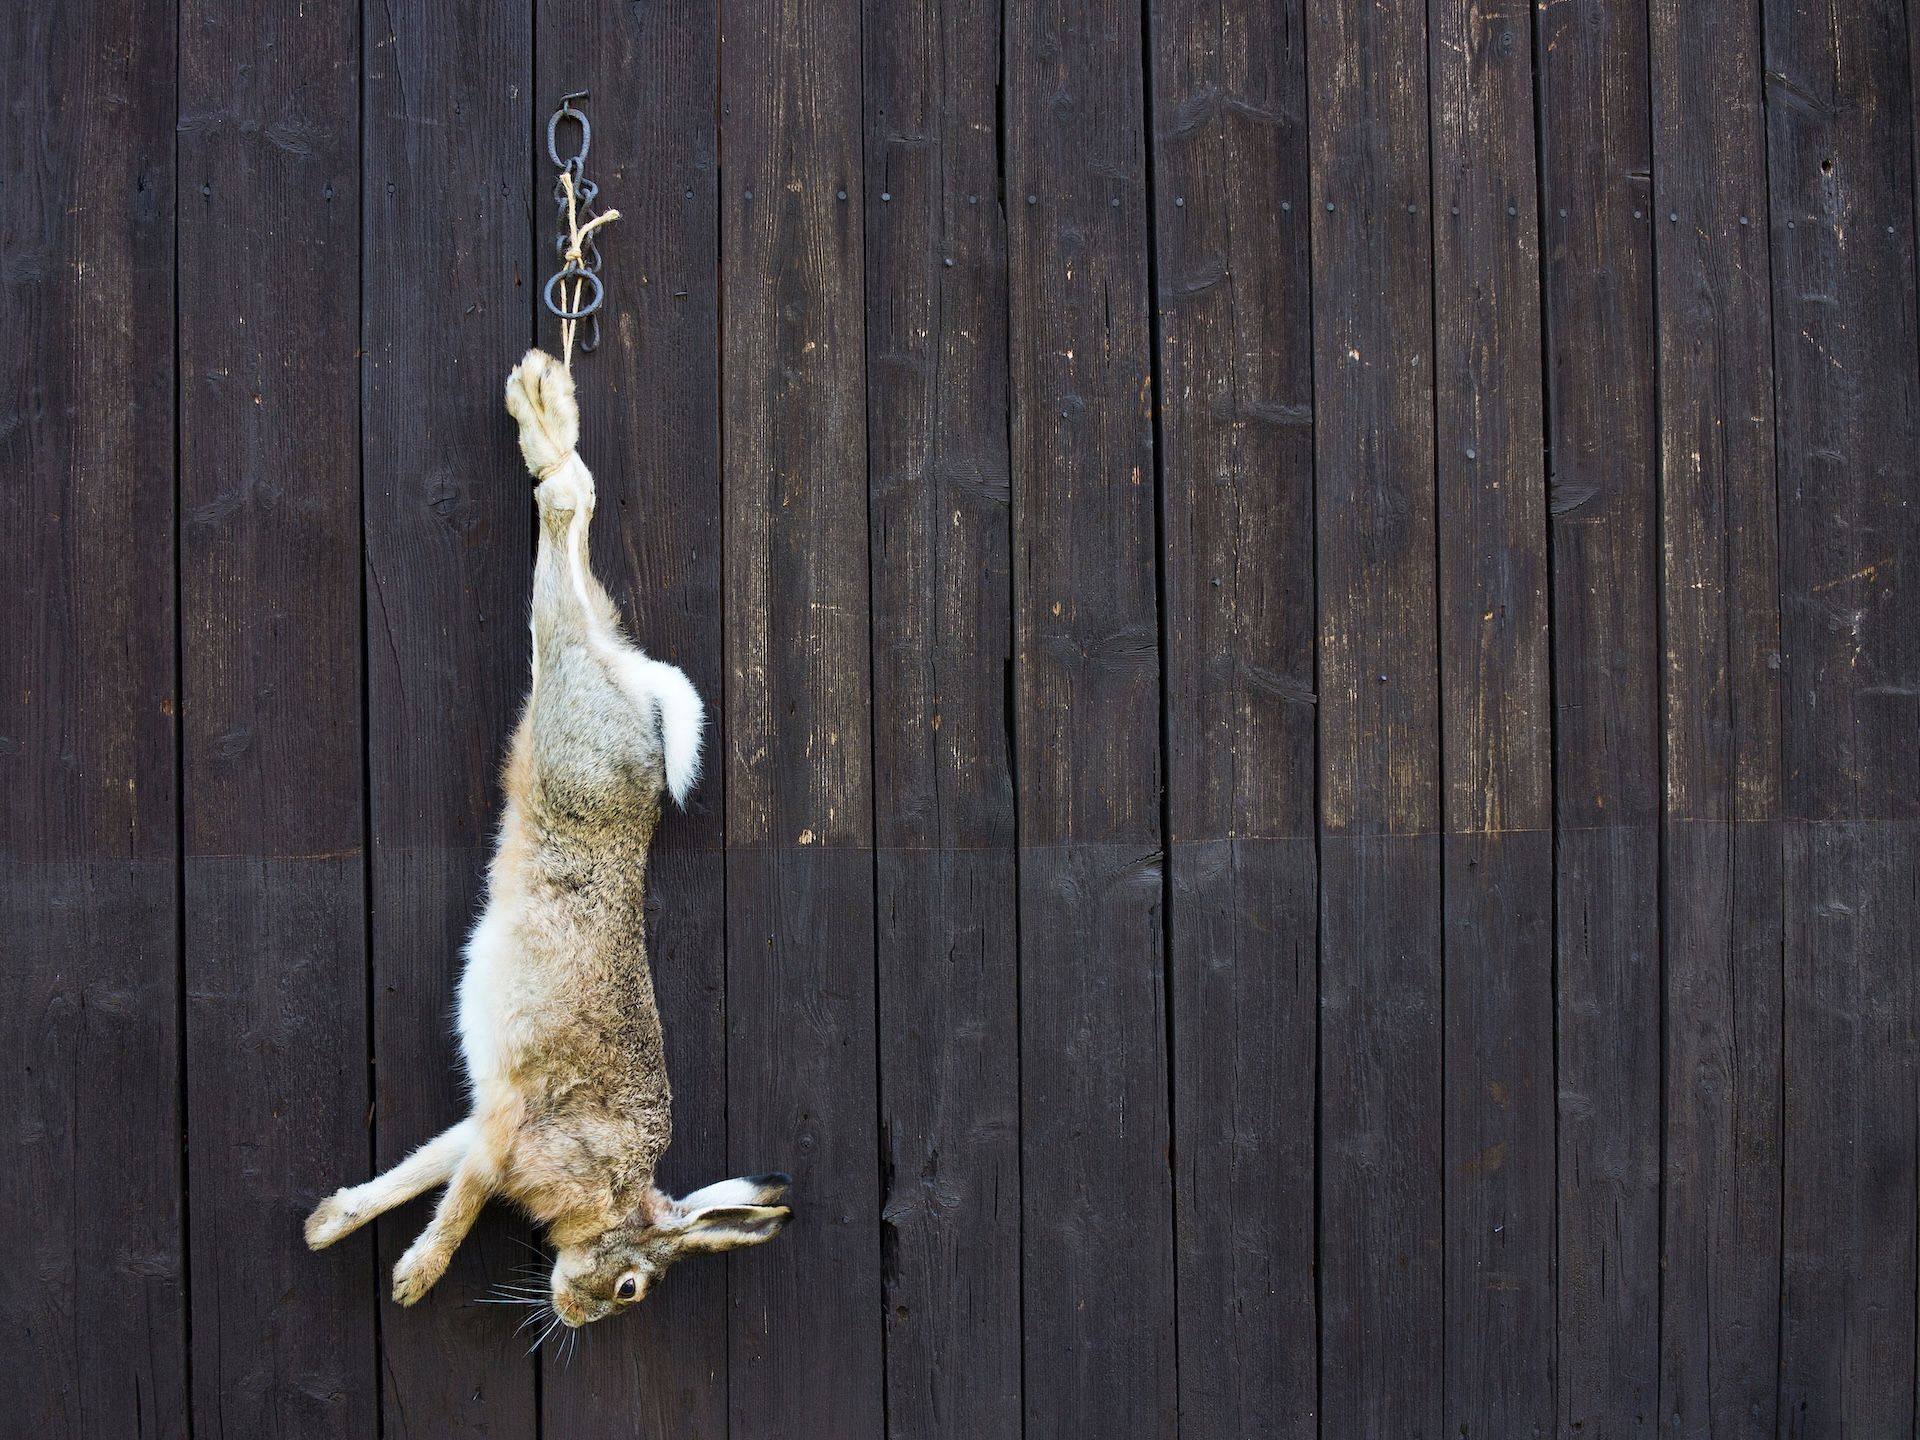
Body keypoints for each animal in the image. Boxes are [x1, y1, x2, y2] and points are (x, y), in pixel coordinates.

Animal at [305, 348, 790, 1327]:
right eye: (634, 1286)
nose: (575, 1316)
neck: (613, 1192)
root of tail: (627, 678)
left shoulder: (484, 1115)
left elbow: (423, 1171)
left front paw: (333, 1222)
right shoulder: (510, 1129)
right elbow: (459, 1200)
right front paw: (416, 1277)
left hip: (565, 676)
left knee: (574, 545)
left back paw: (542, 406)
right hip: (566, 698)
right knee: (566, 516)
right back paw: (541, 414)